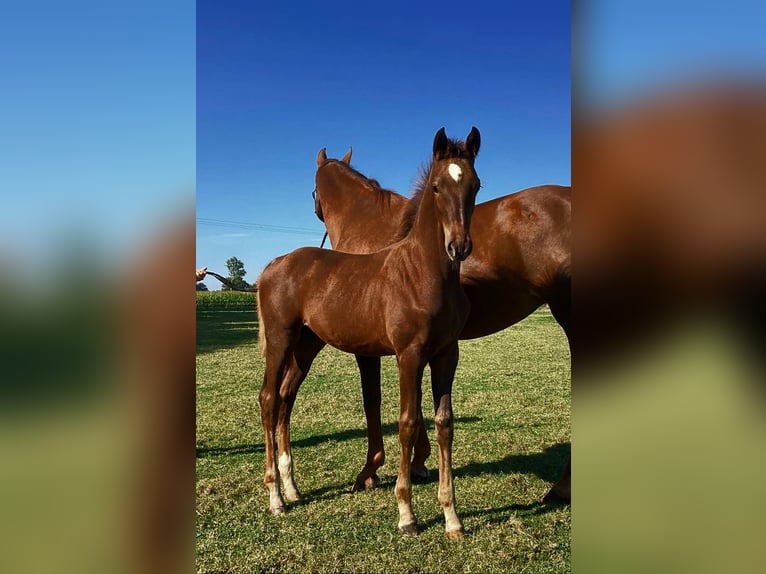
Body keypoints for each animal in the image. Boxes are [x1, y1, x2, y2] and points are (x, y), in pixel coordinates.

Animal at [258, 127, 486, 540]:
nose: (459, 246)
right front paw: (407, 515)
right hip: (280, 340)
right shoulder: (408, 355)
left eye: (475, 185)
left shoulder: (447, 354)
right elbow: (407, 423)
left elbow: (444, 423)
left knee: (284, 399)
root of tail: (274, 264)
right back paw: (276, 499)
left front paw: (452, 518)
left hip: (304, 346)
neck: (423, 272)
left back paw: (292, 488)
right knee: (268, 400)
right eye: (437, 187)